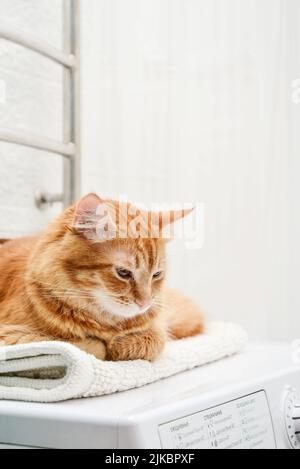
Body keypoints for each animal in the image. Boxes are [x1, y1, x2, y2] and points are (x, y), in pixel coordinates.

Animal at [0, 192, 204, 360]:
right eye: (123, 273)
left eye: (156, 274)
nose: (145, 303)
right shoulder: (12, 335)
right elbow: (87, 345)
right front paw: (108, 347)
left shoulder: (157, 329)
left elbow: (156, 339)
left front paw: (120, 345)